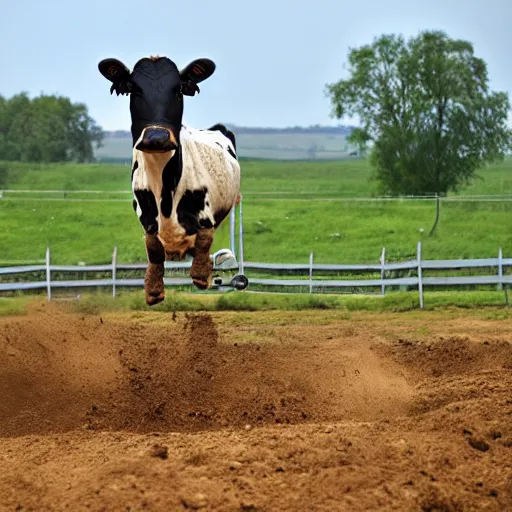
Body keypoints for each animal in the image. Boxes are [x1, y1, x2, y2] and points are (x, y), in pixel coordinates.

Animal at [99, 54, 241, 306]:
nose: (157, 136)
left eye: (178, 90)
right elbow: (153, 247)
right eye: (134, 90)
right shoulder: (146, 215)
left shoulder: (205, 211)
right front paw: (154, 289)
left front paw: (202, 273)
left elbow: (204, 239)